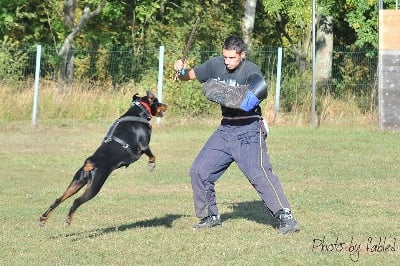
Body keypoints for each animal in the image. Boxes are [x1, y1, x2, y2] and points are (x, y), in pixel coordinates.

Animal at [38, 91, 166, 227]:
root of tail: (90, 163)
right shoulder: (144, 145)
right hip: (95, 185)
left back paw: (43, 219)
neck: (139, 110)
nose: (166, 105)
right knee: (76, 201)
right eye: (157, 102)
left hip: (77, 182)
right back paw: (68, 220)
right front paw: (151, 164)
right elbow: (152, 155)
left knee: (59, 199)